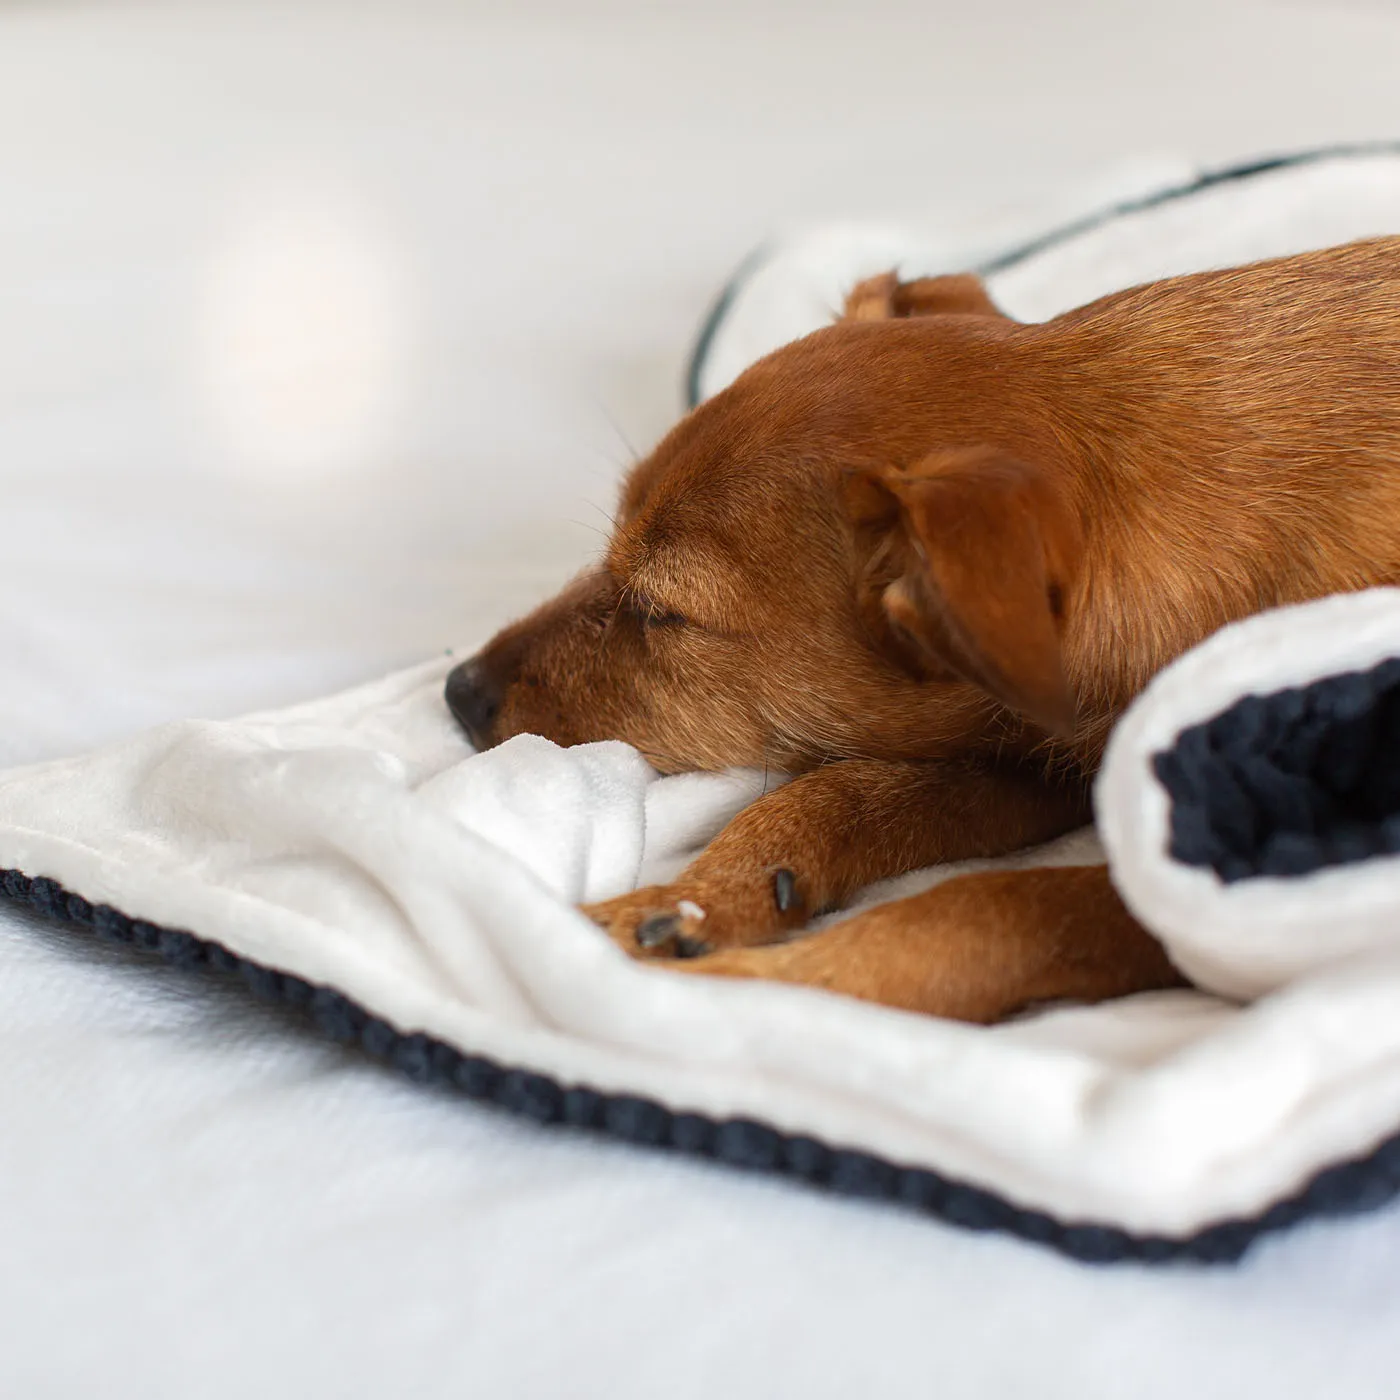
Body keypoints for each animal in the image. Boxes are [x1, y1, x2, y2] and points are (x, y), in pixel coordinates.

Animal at [445, 240, 1400, 1024]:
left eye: (660, 610)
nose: (458, 692)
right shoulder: (1031, 746)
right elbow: (839, 791)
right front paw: (692, 902)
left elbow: (981, 909)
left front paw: (737, 989)